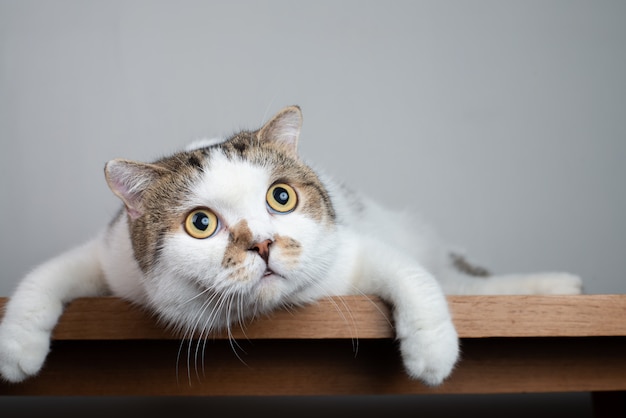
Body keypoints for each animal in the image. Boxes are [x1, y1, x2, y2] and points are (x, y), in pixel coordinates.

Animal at [0, 106, 580, 386]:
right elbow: (45, 275)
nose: (262, 243)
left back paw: (559, 285)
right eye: (200, 224)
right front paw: (18, 348)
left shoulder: (347, 253)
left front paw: (432, 351)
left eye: (281, 197)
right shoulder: (112, 257)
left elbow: (411, 276)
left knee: (451, 278)